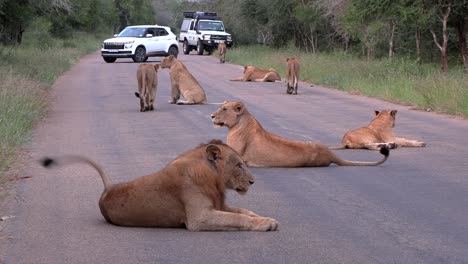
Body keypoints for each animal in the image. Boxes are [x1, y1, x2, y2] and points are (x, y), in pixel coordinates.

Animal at [40, 140, 278, 231]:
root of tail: (107, 190)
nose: (253, 181)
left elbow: (244, 211)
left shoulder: (217, 205)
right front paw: (265, 224)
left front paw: (265, 218)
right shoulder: (199, 218)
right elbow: (237, 218)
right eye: (238, 165)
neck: (213, 180)